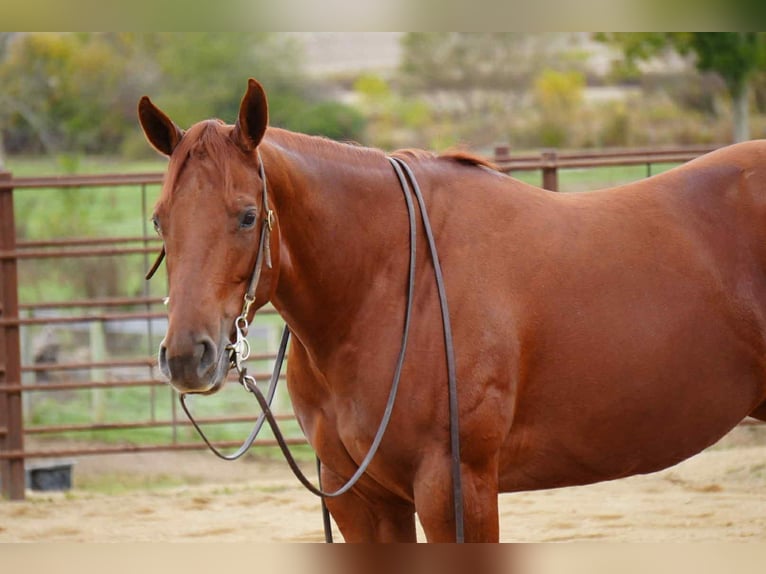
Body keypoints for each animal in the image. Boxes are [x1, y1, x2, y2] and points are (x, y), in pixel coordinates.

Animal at [138, 78, 766, 542]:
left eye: (247, 216)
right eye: (159, 219)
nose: (188, 357)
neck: (386, 286)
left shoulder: (455, 488)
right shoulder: (362, 499)